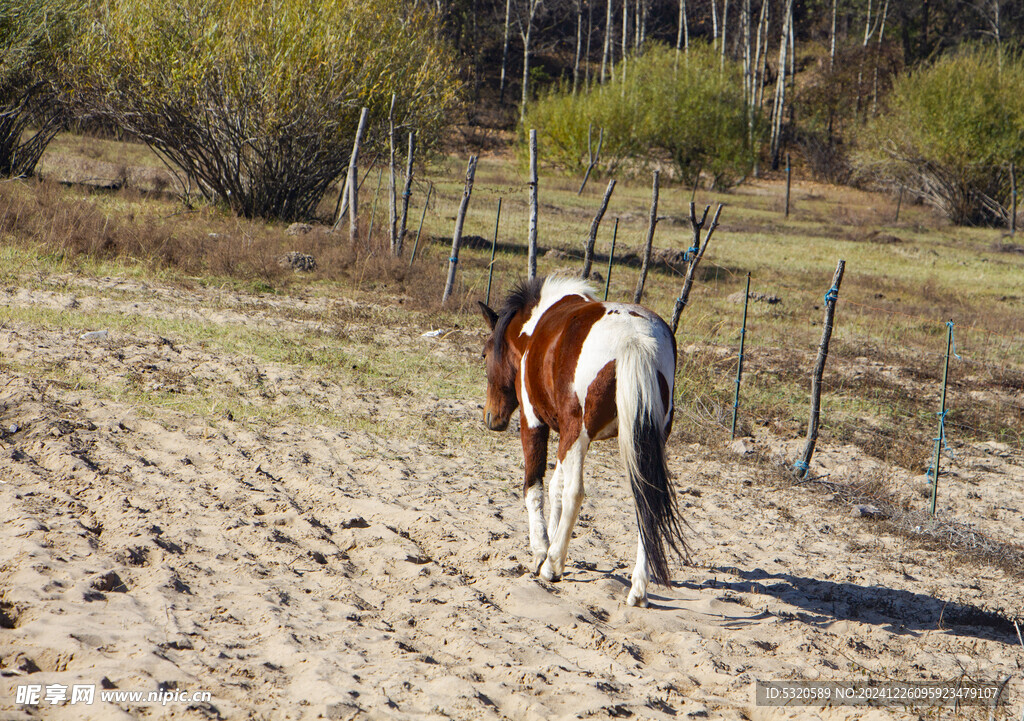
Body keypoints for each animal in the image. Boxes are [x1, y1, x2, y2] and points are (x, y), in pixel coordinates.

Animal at [479, 272, 688, 606]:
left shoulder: (535, 423)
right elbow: (555, 487)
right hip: (639, 443)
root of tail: (635, 339)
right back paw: (638, 588)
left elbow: (536, 487)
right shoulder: (565, 436)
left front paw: (542, 550)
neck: (535, 328)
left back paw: (553, 566)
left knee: (575, 493)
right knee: (646, 500)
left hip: (578, 436)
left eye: (485, 354)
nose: (491, 418)